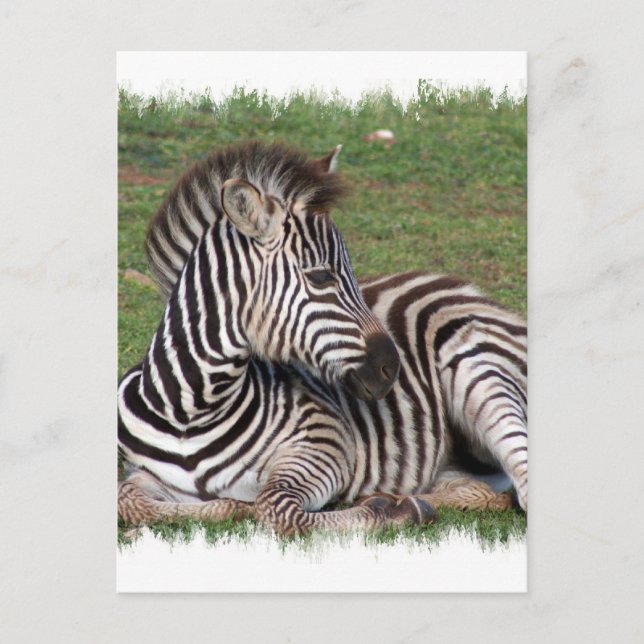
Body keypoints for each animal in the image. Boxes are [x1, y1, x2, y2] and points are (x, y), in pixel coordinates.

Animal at [118, 141, 527, 536]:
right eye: (320, 277)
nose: (391, 367)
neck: (192, 411)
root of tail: (462, 287)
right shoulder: (144, 475)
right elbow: (130, 502)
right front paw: (231, 507)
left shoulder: (324, 440)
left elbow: (275, 508)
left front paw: (390, 513)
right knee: (478, 490)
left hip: (481, 377)